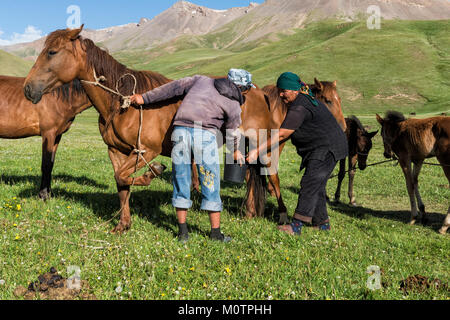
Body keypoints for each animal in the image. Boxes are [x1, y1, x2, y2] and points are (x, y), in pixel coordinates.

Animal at [22, 25, 272, 232]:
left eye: (52, 52)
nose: (28, 88)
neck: (121, 104)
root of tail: (258, 92)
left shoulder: (146, 150)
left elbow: (127, 177)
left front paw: (153, 172)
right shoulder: (116, 151)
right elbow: (121, 182)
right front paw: (123, 224)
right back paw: (250, 212)